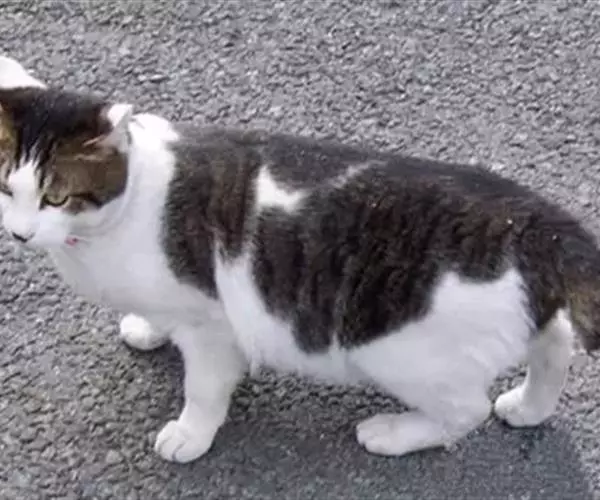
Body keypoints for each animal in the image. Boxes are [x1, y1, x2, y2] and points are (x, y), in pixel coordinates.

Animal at [0, 54, 599, 465]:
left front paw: (191, 434)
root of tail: (531, 217)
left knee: (465, 409)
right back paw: (529, 406)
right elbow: (157, 319)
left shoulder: (211, 324)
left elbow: (205, 388)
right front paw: (148, 329)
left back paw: (393, 432)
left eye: (56, 197)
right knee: (555, 341)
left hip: (403, 353)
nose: (19, 234)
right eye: (7, 189)